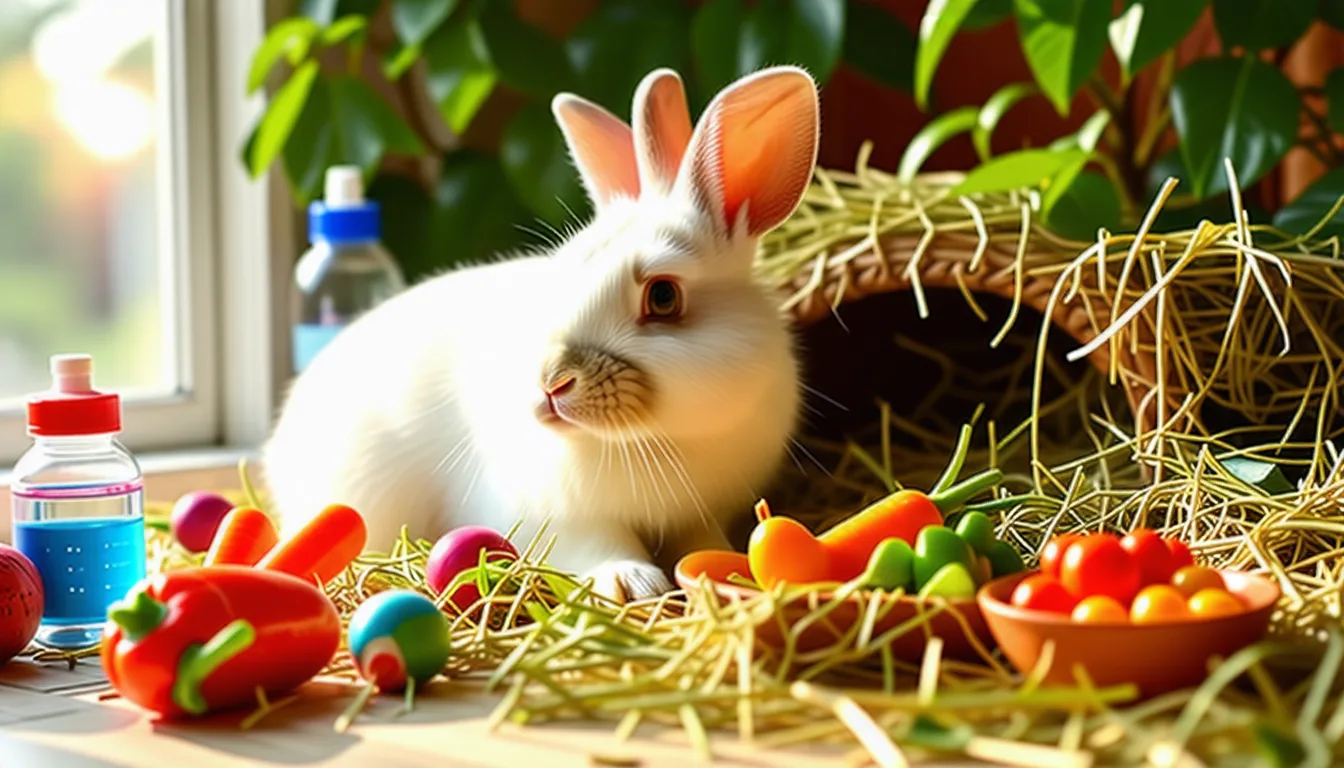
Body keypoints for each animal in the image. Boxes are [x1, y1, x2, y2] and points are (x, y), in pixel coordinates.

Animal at [261, 65, 821, 602]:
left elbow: (699, 539)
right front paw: (631, 583)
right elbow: (598, 544)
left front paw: (720, 561)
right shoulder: (557, 516)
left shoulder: (699, 510)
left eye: (663, 297)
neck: (663, 439)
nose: (550, 382)